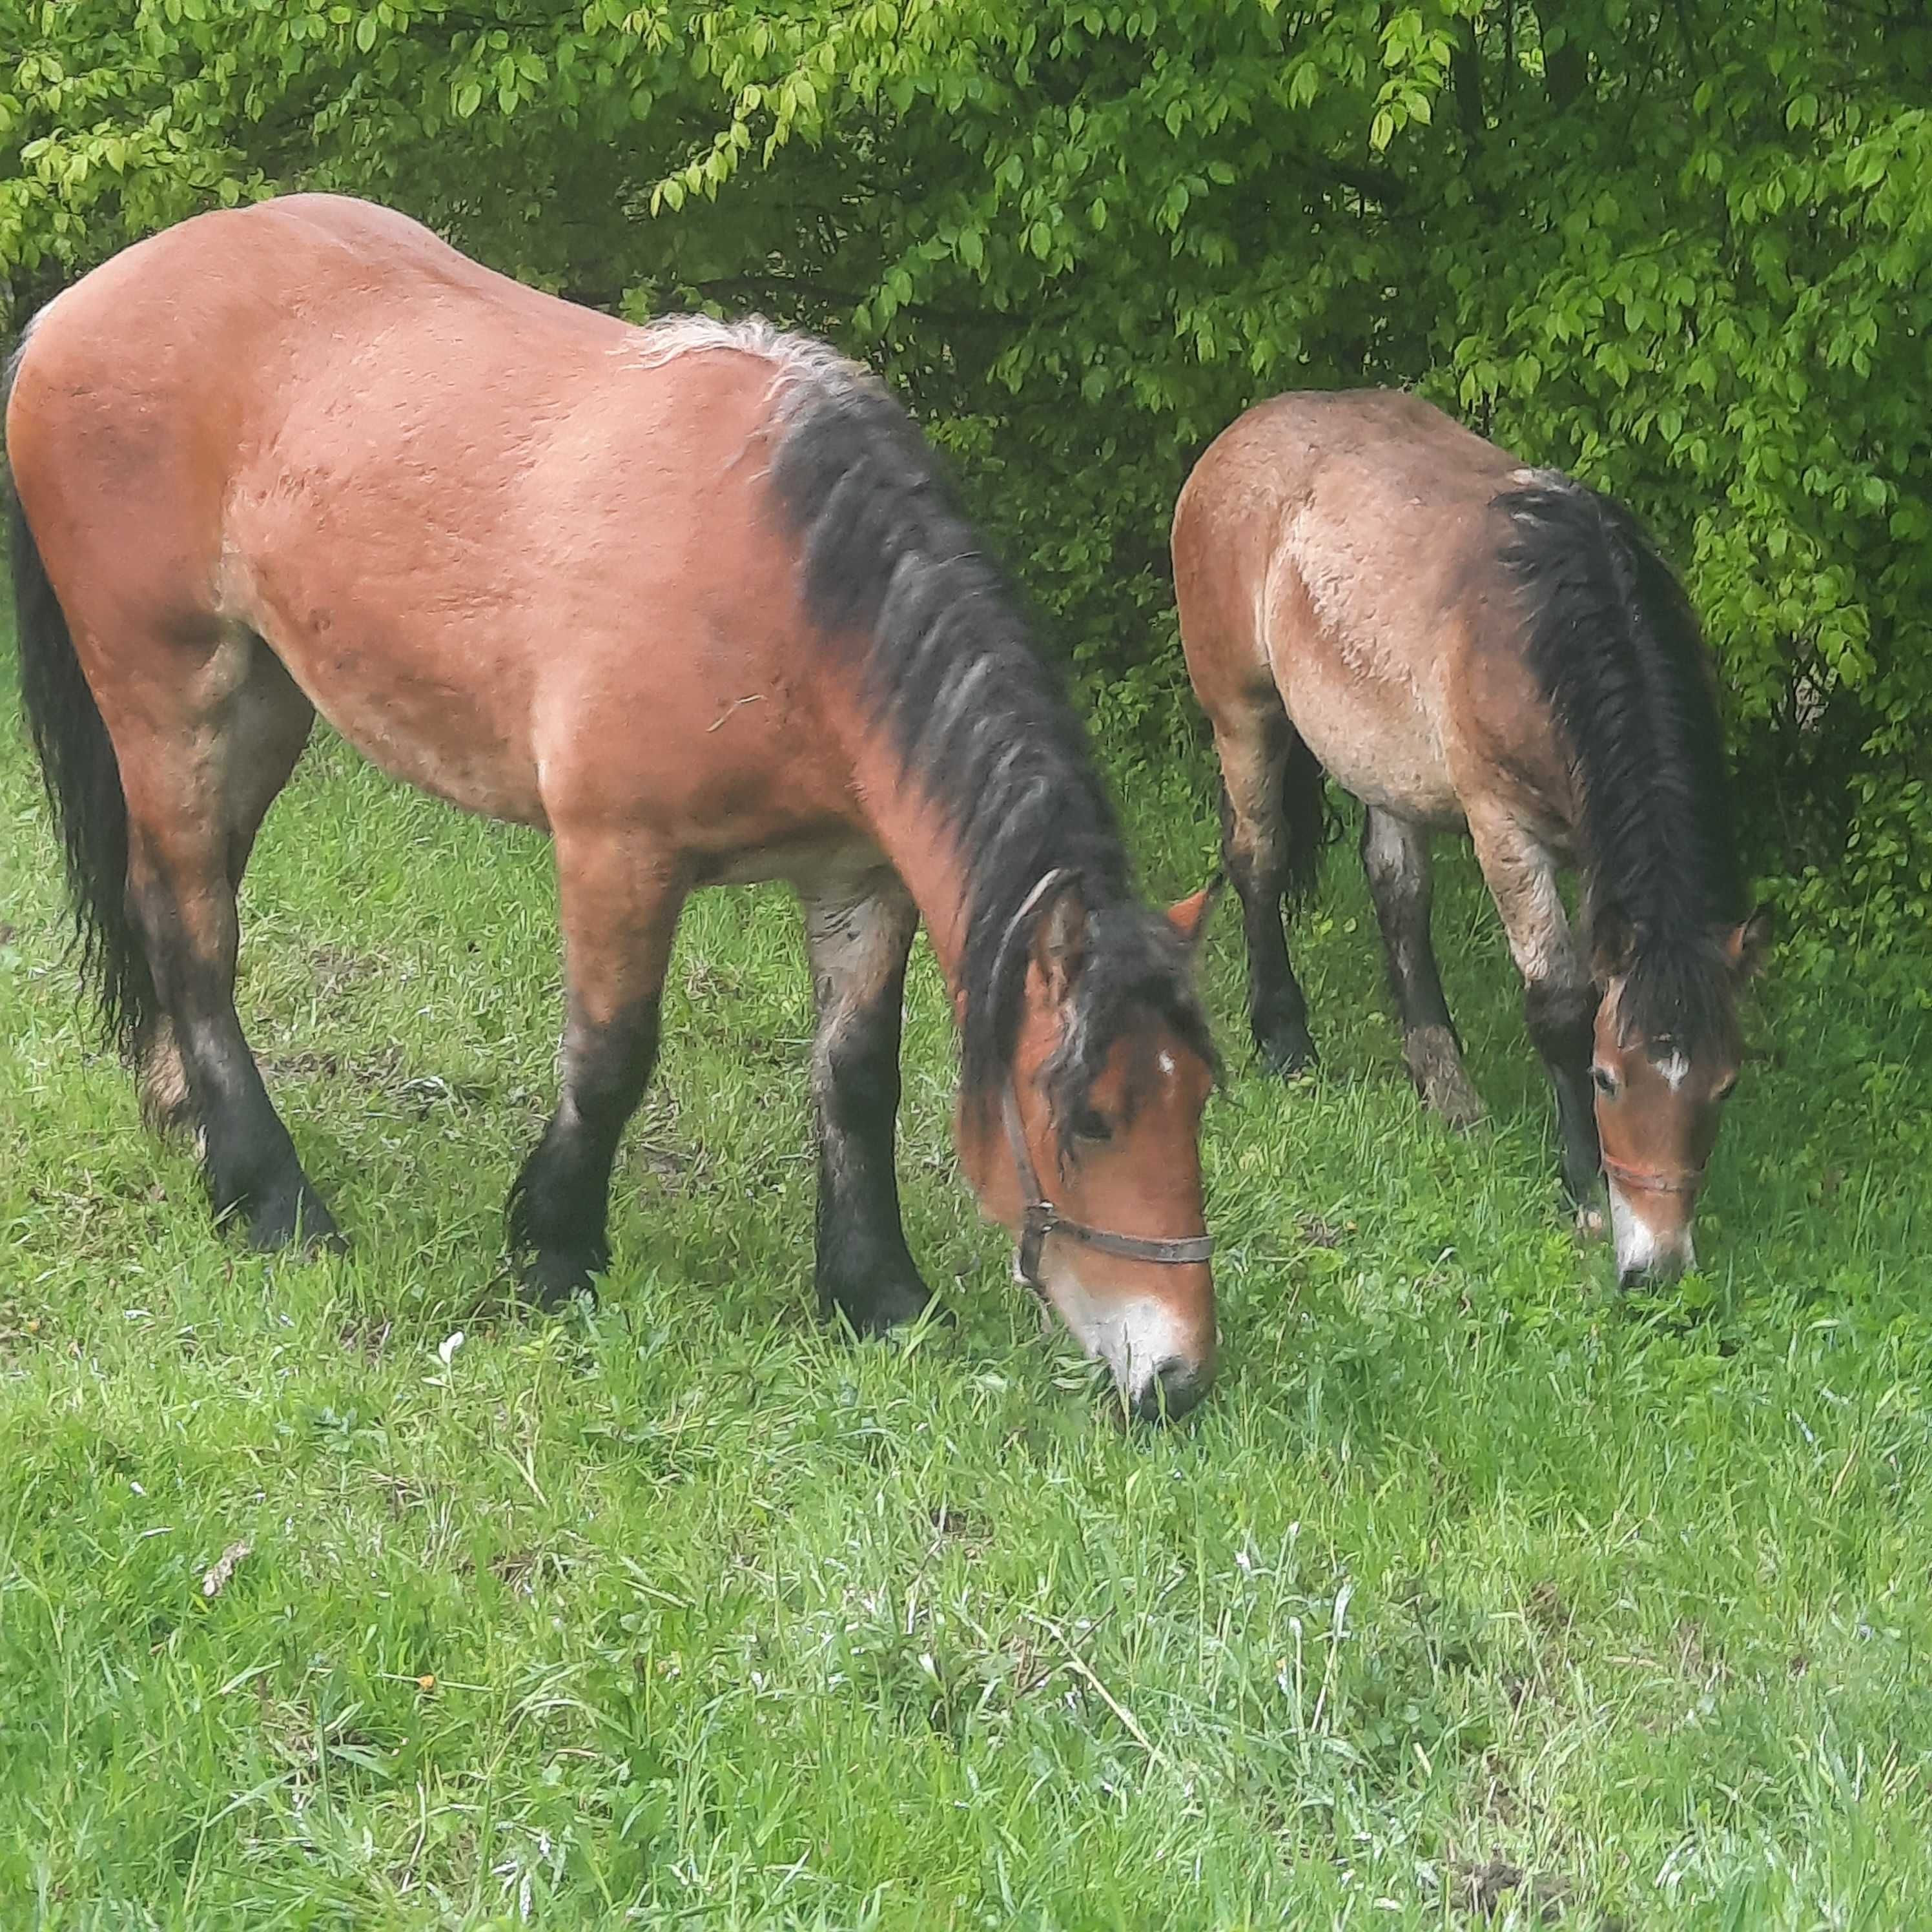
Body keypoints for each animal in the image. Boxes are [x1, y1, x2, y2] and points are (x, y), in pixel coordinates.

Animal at [11, 192, 1220, 1422]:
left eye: (1199, 1105)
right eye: (1089, 1119)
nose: (1177, 1375)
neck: (787, 586)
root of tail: (72, 310)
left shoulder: (858, 877)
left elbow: (855, 1075)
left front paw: (875, 1290)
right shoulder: (618, 853)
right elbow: (608, 1058)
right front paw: (553, 1250)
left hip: (264, 702)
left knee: (179, 899)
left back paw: (191, 1120)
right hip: (169, 692)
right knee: (192, 927)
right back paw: (272, 1198)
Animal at [1167, 390, 1769, 1282]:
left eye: (1722, 1086)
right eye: (1606, 1078)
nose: (1655, 1265)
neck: (1552, 635)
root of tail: (1237, 435)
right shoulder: (1504, 830)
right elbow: (1559, 1000)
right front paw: (1583, 1187)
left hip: (1382, 761)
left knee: (1396, 892)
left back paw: (1442, 1081)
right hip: (1243, 716)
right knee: (1257, 861)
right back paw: (1285, 1040)